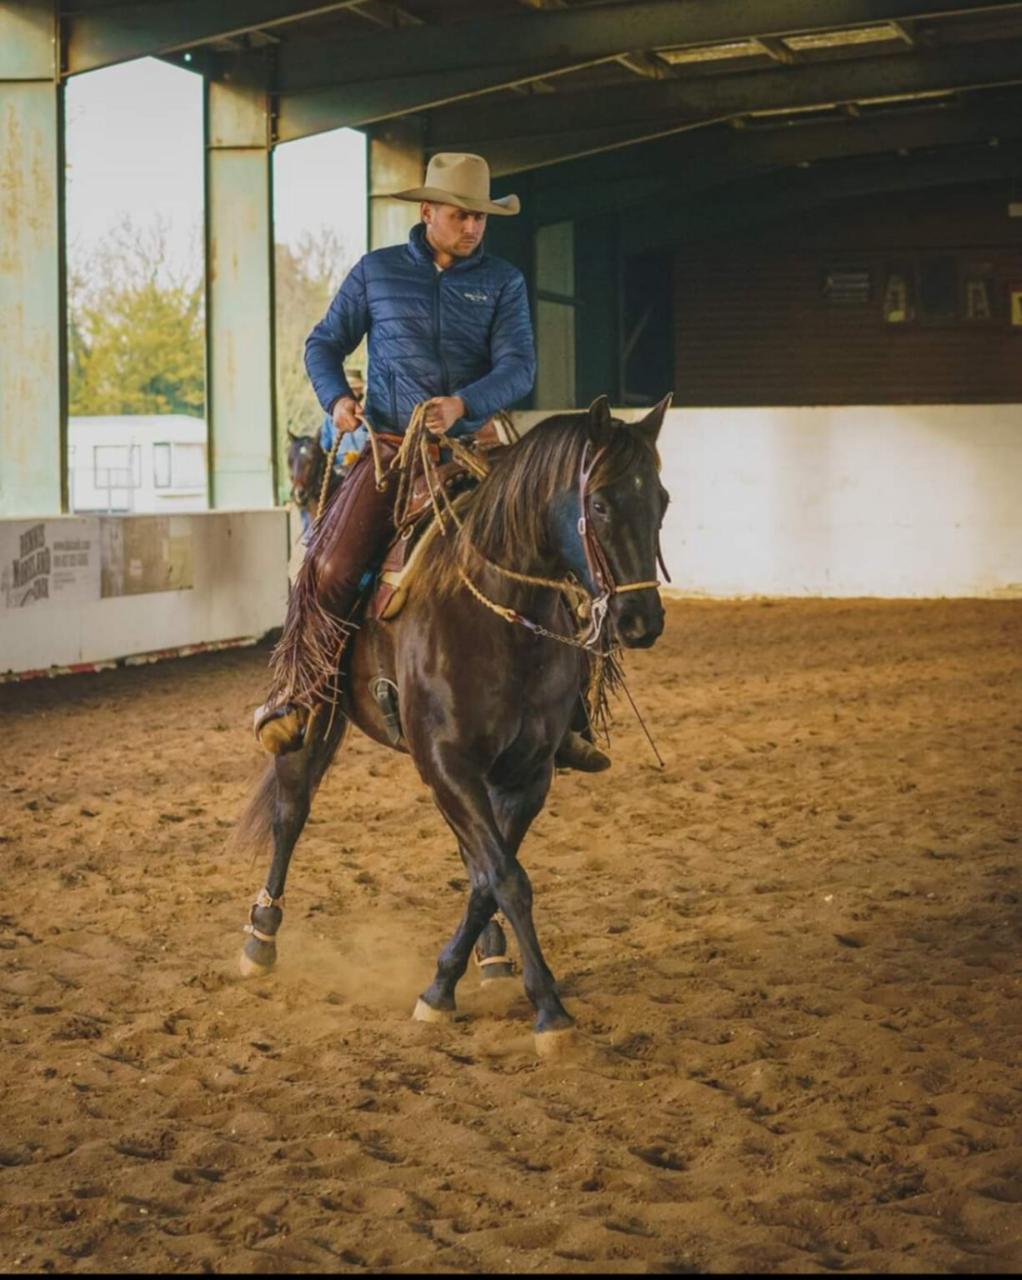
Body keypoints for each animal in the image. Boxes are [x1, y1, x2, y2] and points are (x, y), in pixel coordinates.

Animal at [236, 394, 676, 1054]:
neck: (497, 616)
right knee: (291, 812)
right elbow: (507, 878)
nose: (641, 619)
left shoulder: (524, 774)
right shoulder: (446, 762)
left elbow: (490, 877)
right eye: (598, 502)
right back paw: (261, 937)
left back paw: (491, 957)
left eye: (663, 500)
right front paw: (546, 1009)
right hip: (319, 715)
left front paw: (451, 981)